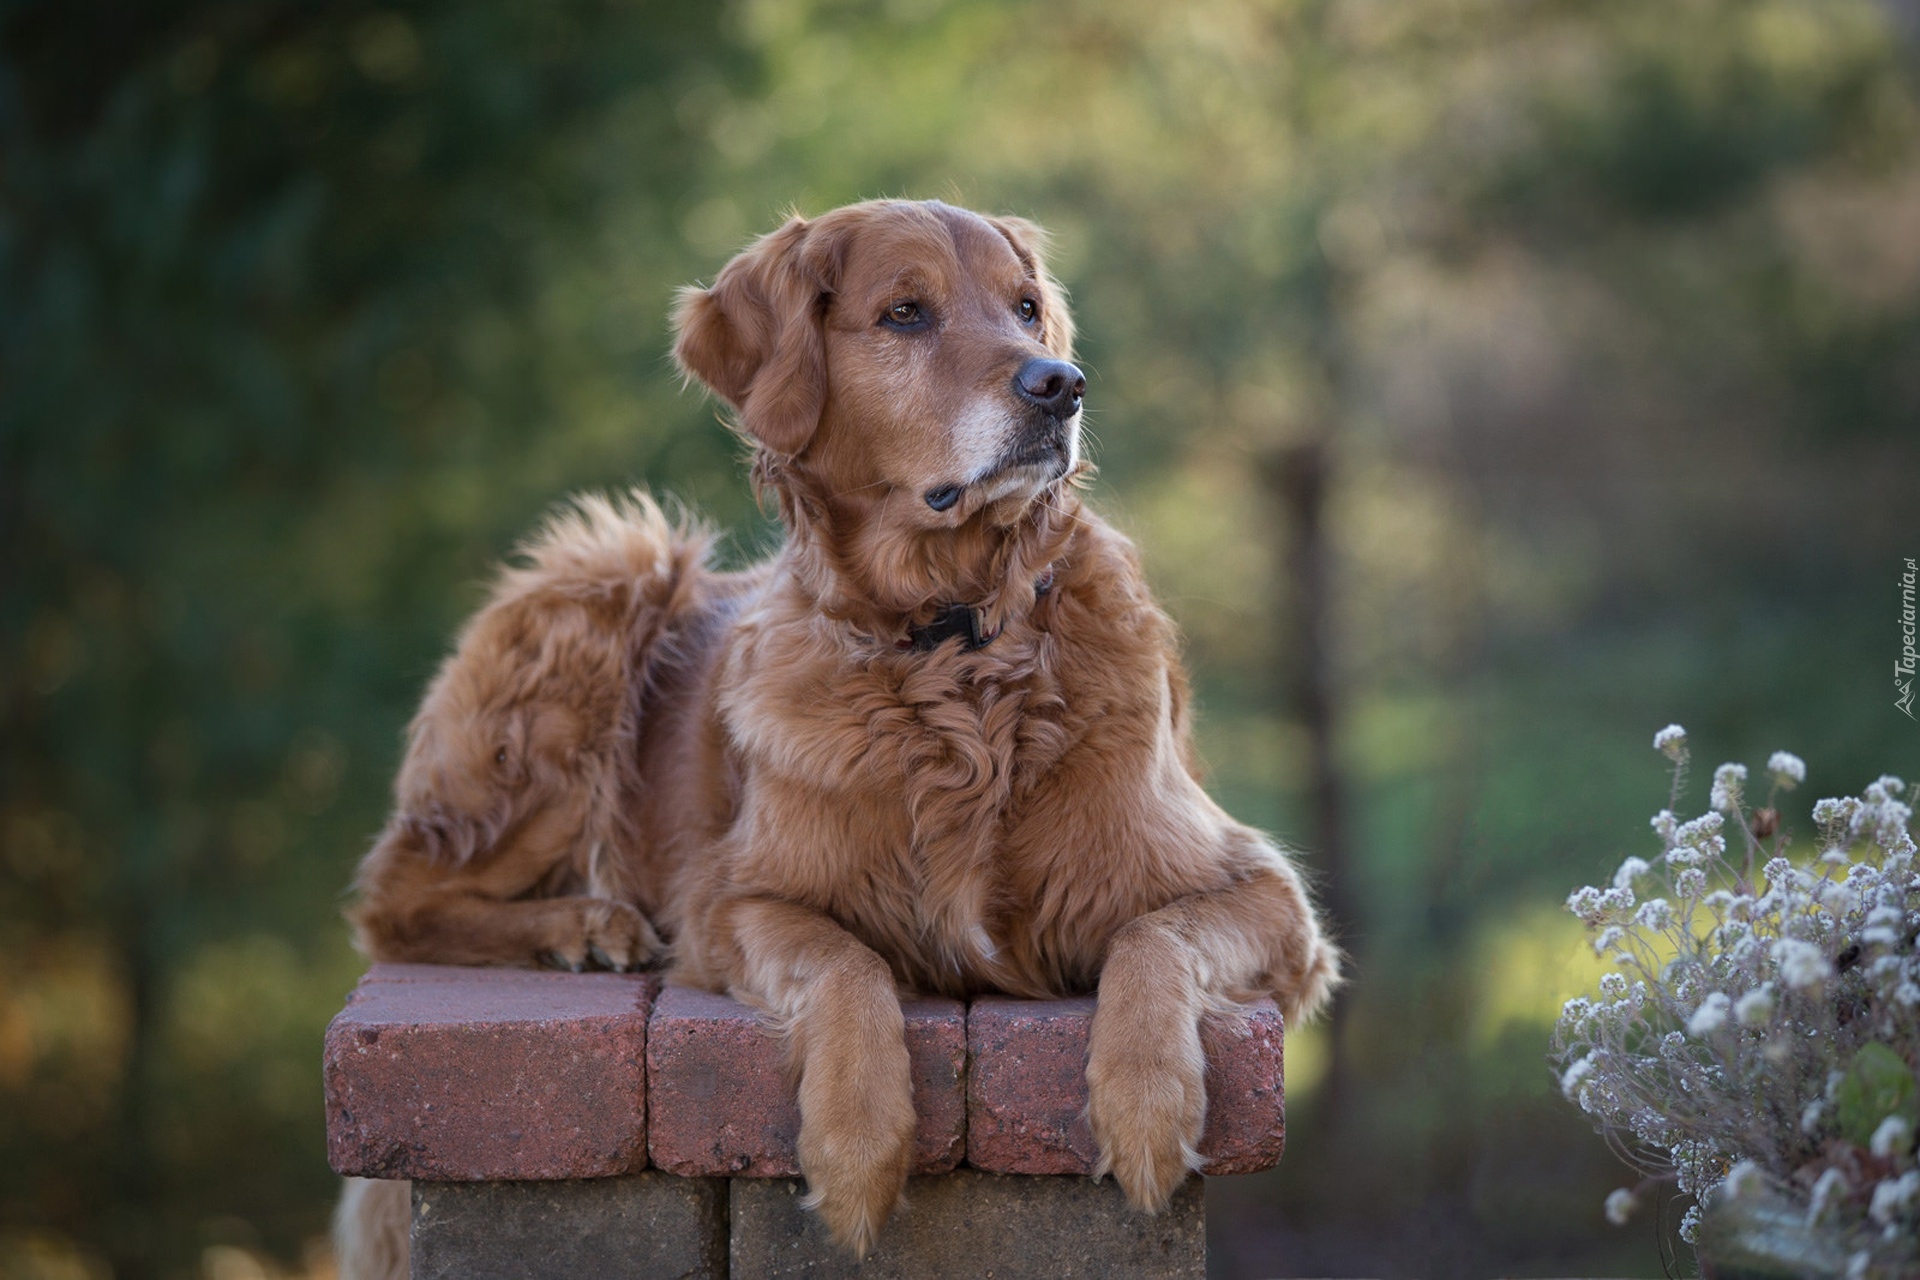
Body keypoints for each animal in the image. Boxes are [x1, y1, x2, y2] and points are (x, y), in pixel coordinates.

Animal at [341, 195, 1336, 1266]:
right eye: (905, 312)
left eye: (1027, 309)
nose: (1061, 386)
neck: (952, 646)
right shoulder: (731, 900)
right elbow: (846, 964)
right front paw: (857, 1153)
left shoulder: (1270, 899)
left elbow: (1153, 936)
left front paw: (1148, 1110)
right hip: (612, 569)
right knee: (396, 900)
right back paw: (586, 926)